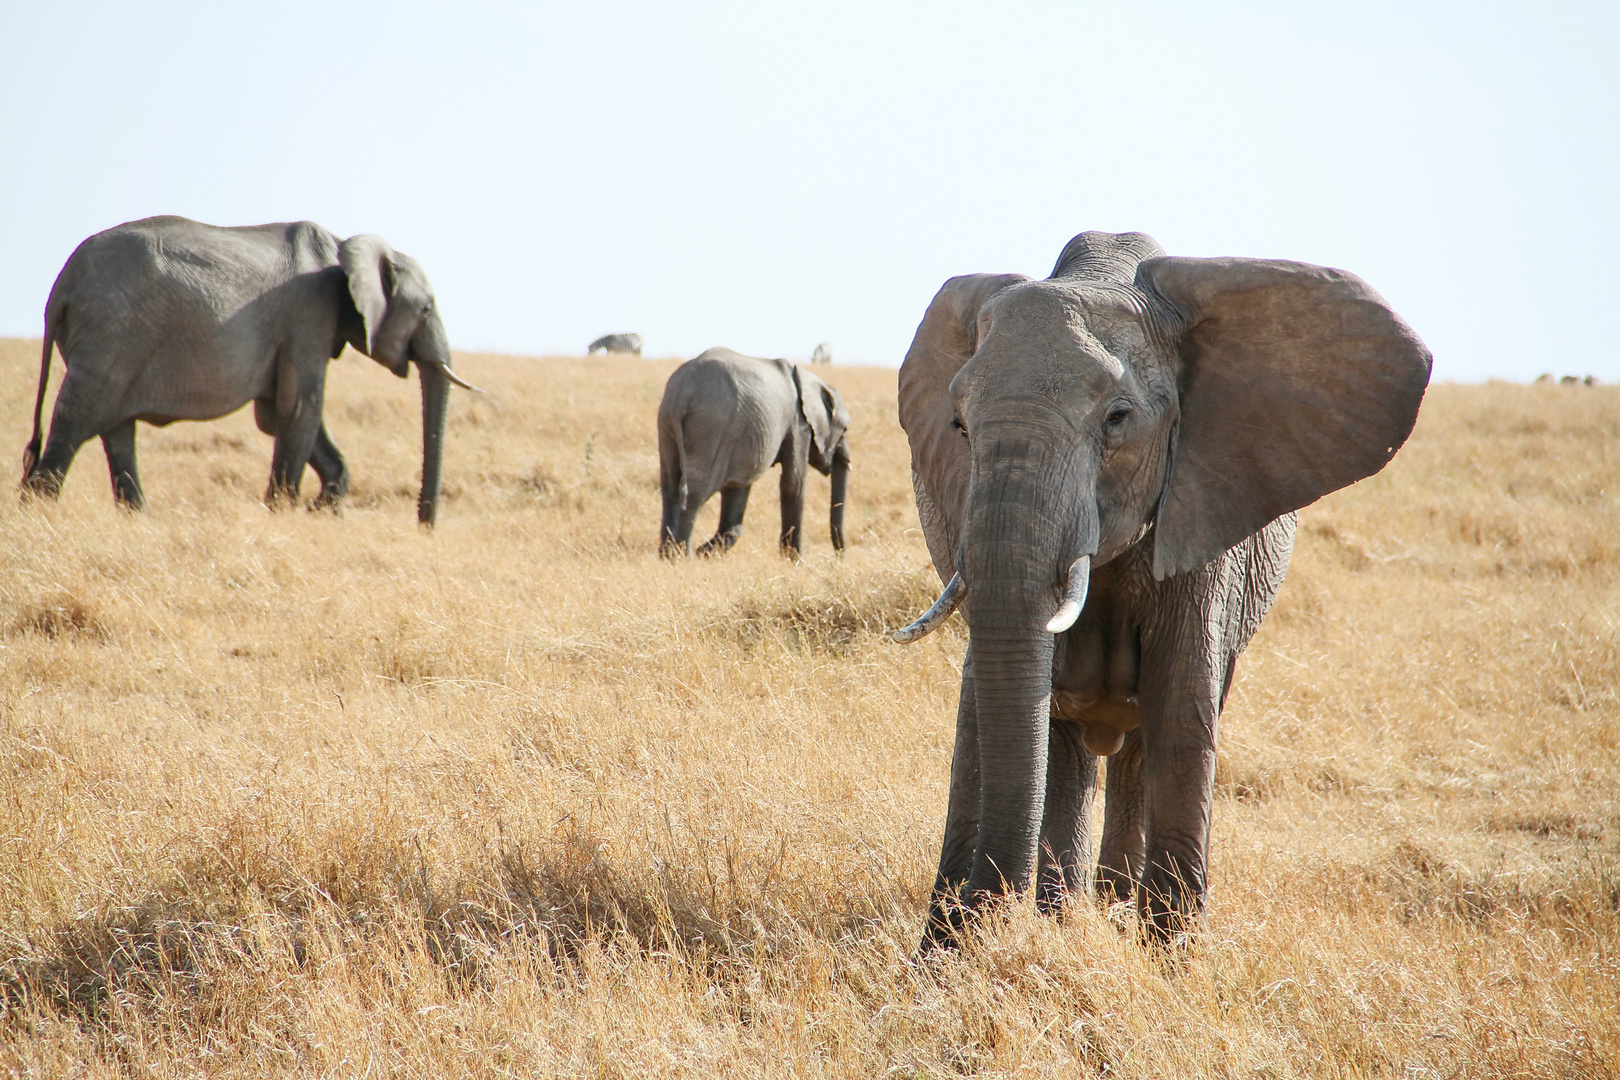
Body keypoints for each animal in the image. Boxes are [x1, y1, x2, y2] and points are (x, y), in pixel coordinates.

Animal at [19, 213, 476, 524]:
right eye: (426, 309)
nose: (424, 528)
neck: (344, 246)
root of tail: (59, 289)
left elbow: (281, 414)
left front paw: (319, 511)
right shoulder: (309, 315)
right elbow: (299, 409)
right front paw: (286, 516)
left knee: (116, 431)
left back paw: (133, 520)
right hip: (109, 335)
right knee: (76, 421)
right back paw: (40, 514)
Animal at [657, 348, 855, 557]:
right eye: (845, 429)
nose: (839, 558)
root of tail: (682, 394)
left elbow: (738, 487)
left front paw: (706, 552)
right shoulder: (798, 424)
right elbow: (794, 483)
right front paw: (796, 560)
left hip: (668, 423)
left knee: (670, 488)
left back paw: (668, 556)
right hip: (710, 427)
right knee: (696, 492)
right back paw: (683, 556)